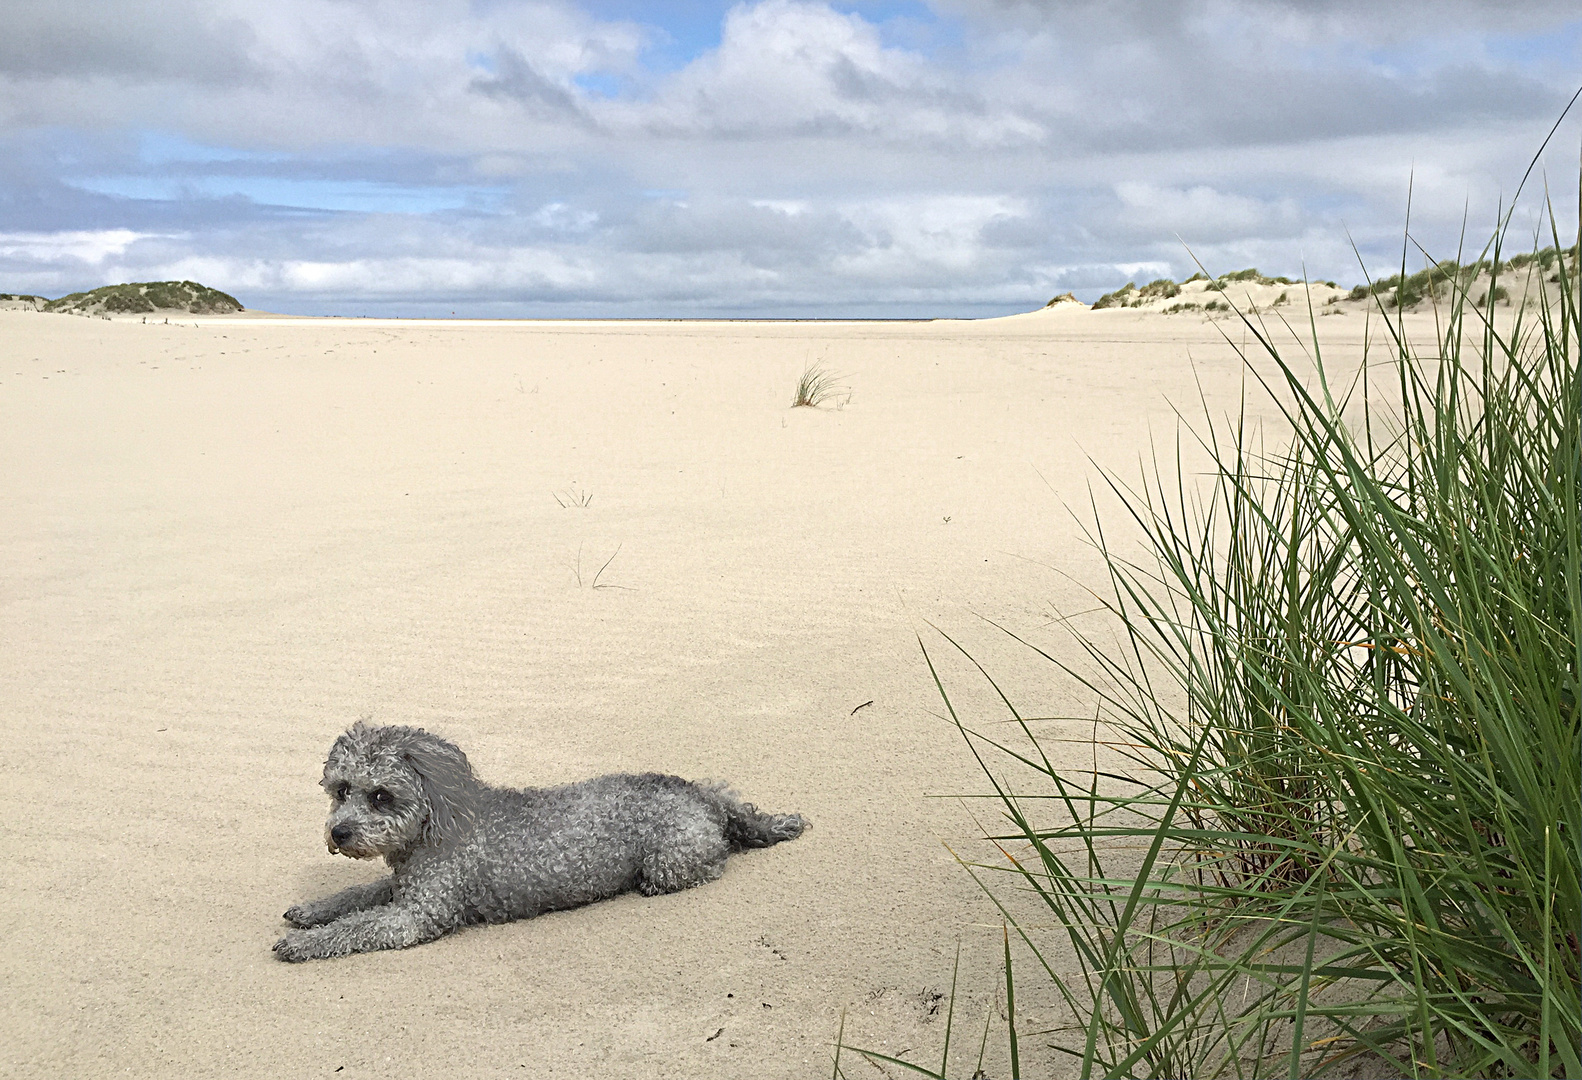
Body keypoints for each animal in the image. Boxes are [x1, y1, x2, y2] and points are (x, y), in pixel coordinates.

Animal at [272, 727, 809, 961]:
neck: (435, 824)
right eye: (341, 790)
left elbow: (357, 927)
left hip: (669, 861)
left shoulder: (417, 914)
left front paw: (302, 942)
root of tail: (702, 793)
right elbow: (354, 898)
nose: (338, 833)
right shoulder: (405, 887)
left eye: (380, 796)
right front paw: (311, 910)